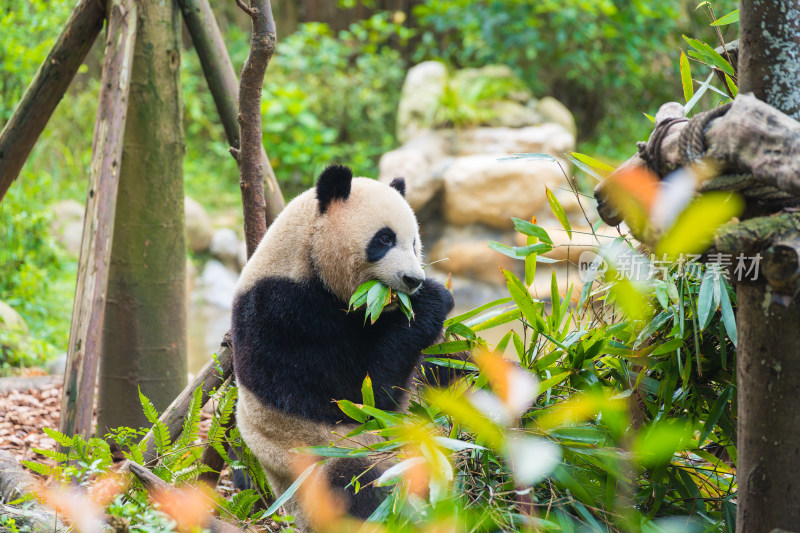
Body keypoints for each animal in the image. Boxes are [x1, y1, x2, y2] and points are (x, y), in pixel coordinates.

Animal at [231, 163, 456, 528]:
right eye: (384, 239)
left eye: (415, 242)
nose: (413, 280)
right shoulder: (280, 313)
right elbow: (358, 395)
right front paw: (431, 301)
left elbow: (436, 367)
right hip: (325, 462)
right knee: (356, 485)